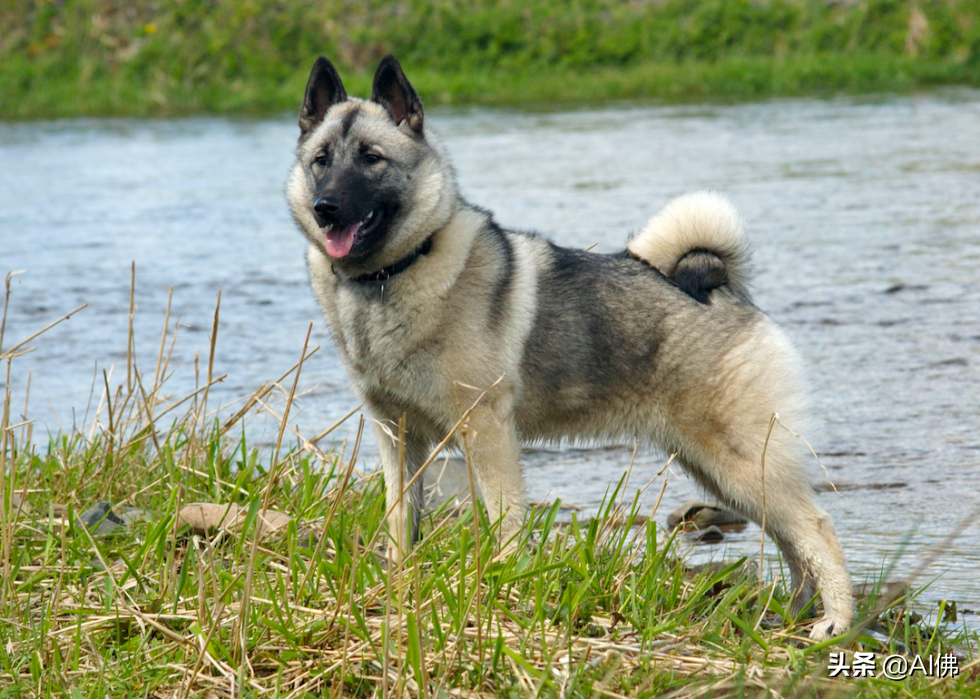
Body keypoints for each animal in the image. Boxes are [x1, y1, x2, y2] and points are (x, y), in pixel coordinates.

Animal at [288, 57, 852, 644]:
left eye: (371, 158)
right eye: (321, 161)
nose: (326, 207)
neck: (391, 277)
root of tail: (722, 287)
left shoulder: (486, 431)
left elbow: (505, 519)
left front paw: (503, 584)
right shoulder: (396, 437)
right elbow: (402, 520)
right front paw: (398, 583)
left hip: (739, 462)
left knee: (815, 527)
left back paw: (835, 621)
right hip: (718, 470)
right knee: (791, 541)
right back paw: (795, 612)